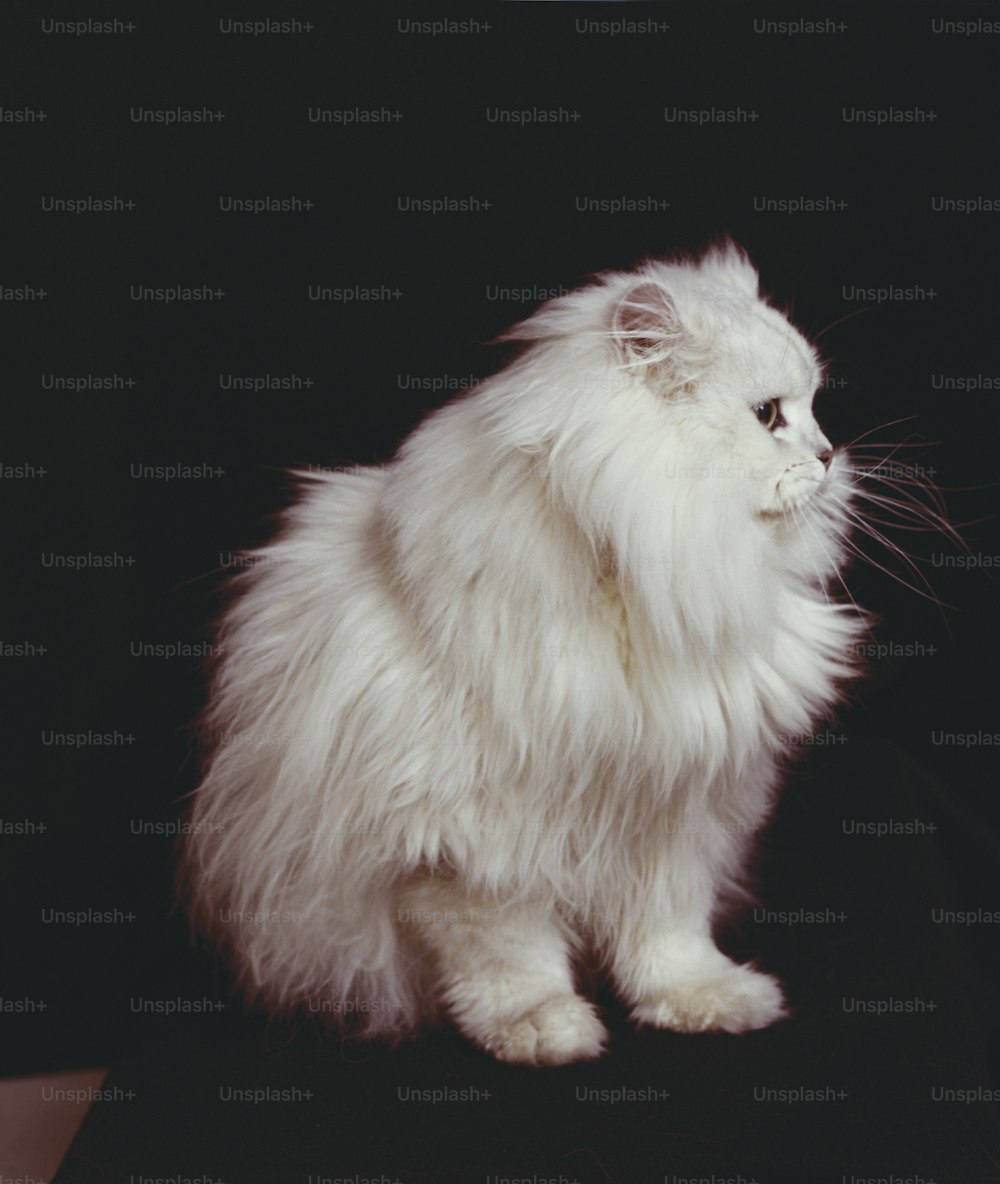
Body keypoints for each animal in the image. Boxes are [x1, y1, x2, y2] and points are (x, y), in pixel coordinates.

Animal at [179, 237, 866, 1065]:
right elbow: (510, 959)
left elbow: (669, 937)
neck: (645, 590)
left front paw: (704, 1001)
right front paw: (544, 1029)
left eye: (815, 408)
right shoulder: (465, 847)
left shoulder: (673, 812)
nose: (830, 455)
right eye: (769, 415)